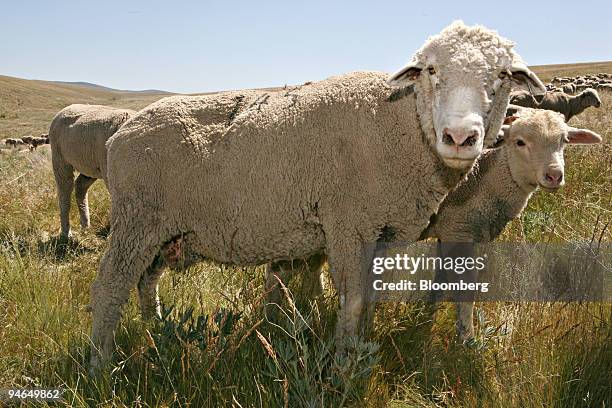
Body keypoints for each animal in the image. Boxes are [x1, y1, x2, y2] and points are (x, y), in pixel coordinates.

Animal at [87, 21, 544, 372]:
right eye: (431, 69)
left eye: (504, 76)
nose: (460, 137)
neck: (401, 122)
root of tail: (119, 134)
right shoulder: (348, 223)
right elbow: (353, 300)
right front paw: (344, 364)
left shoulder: (381, 232)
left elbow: (369, 299)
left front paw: (362, 348)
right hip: (136, 219)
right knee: (110, 285)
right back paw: (100, 364)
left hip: (163, 230)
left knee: (147, 280)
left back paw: (156, 332)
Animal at [420, 109, 604, 342]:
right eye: (520, 142)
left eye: (564, 141)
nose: (554, 175)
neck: (482, 180)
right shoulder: (459, 230)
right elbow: (465, 288)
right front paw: (466, 339)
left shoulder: (448, 231)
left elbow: (440, 279)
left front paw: (426, 318)